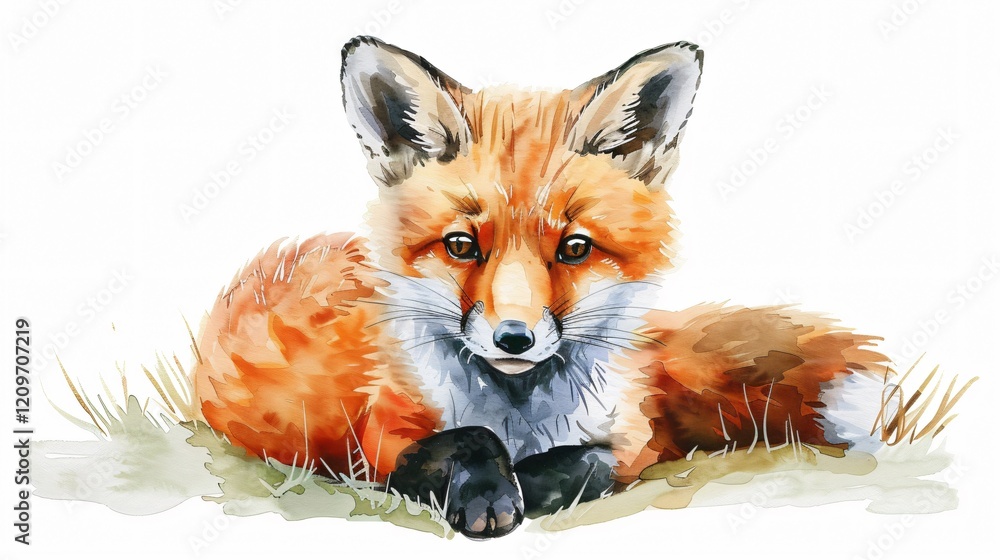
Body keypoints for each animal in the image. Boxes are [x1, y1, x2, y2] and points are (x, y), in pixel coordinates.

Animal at [193, 36, 888, 539]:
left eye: (575, 248)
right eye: (461, 246)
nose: (514, 338)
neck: (521, 410)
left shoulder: (634, 439)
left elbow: (587, 463)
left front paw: (528, 485)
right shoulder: (378, 446)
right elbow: (467, 439)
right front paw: (491, 492)